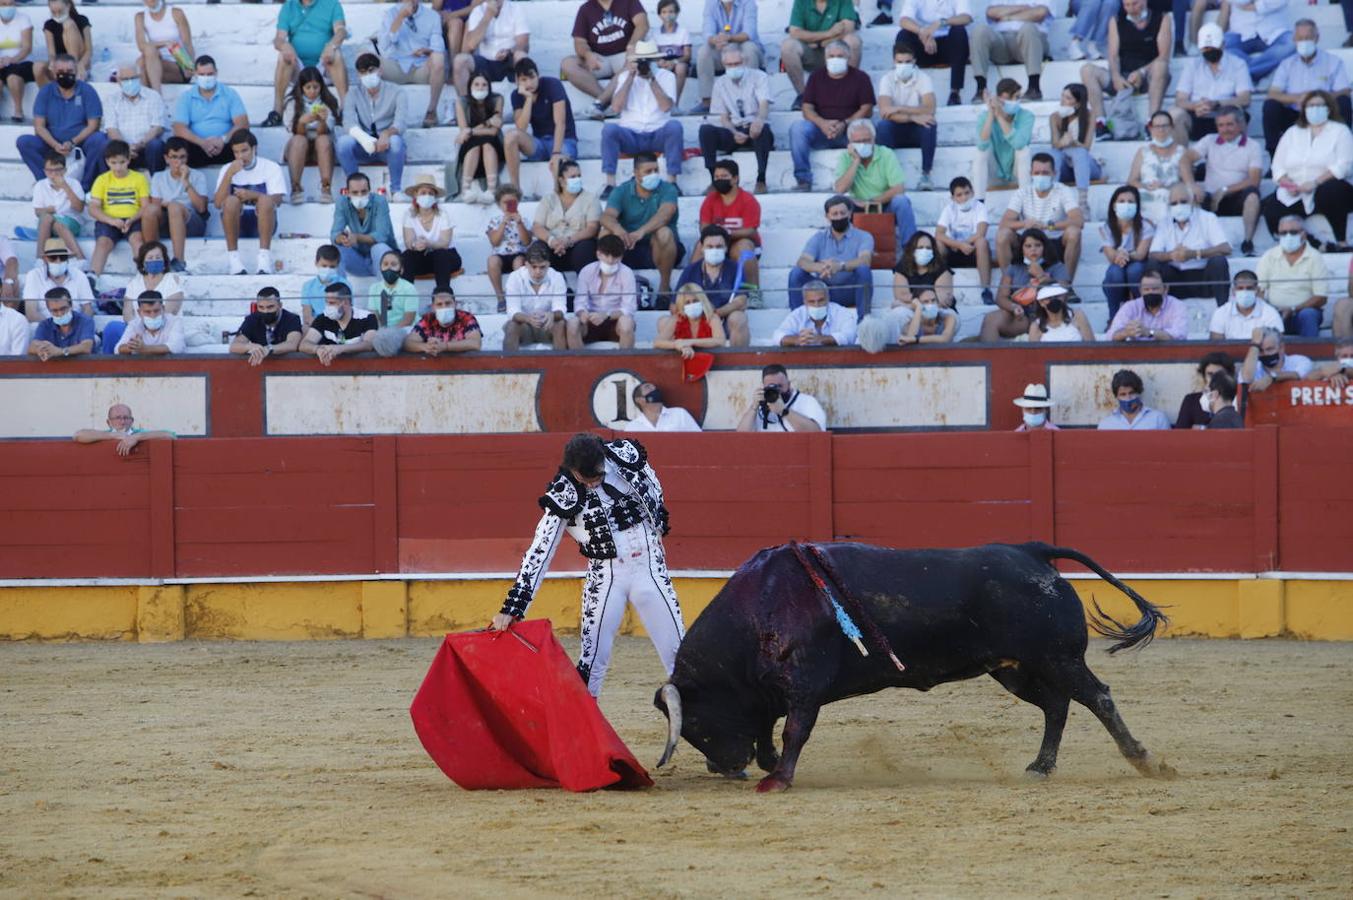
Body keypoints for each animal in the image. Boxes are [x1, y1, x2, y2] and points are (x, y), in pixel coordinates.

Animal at [652, 535, 1174, 790]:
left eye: (694, 724)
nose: (722, 768)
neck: (761, 604)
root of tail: (1032, 551)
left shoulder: (804, 687)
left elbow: (793, 730)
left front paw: (778, 779)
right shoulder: (771, 692)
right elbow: (768, 728)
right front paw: (770, 766)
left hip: (1056, 657)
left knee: (1097, 698)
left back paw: (1145, 760)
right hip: (1015, 668)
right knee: (1057, 706)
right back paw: (1040, 767)